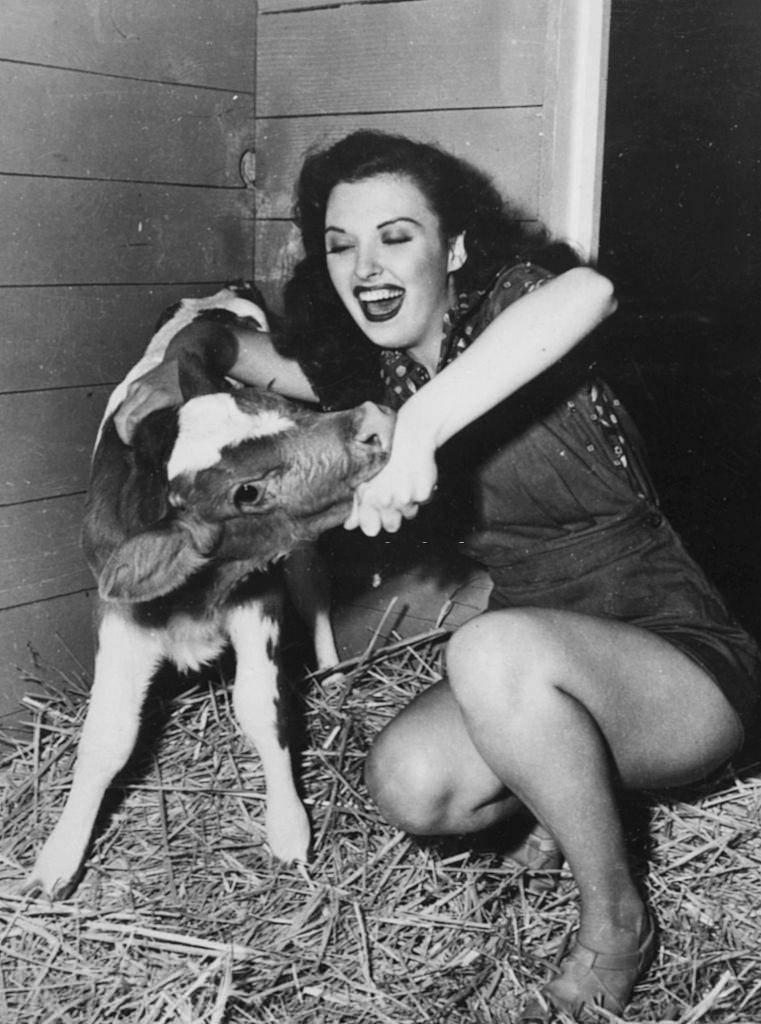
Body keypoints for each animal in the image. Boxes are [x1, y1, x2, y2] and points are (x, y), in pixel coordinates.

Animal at [25, 284, 393, 901]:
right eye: (246, 492)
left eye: (295, 412)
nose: (373, 421)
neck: (198, 592)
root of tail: (214, 295)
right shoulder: (120, 616)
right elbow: (108, 736)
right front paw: (59, 856)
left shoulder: (259, 598)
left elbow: (261, 707)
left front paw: (288, 825)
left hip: (301, 550)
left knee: (314, 594)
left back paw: (332, 672)